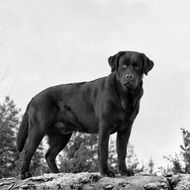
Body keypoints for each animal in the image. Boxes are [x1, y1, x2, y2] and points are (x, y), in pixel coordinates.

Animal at [15, 50, 154, 178]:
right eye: (123, 66)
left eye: (137, 66)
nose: (129, 77)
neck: (125, 96)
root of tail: (34, 97)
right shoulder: (105, 126)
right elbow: (103, 151)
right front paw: (106, 172)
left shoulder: (126, 128)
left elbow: (122, 151)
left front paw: (124, 171)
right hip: (38, 129)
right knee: (26, 152)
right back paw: (24, 174)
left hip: (61, 135)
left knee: (49, 155)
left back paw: (58, 174)